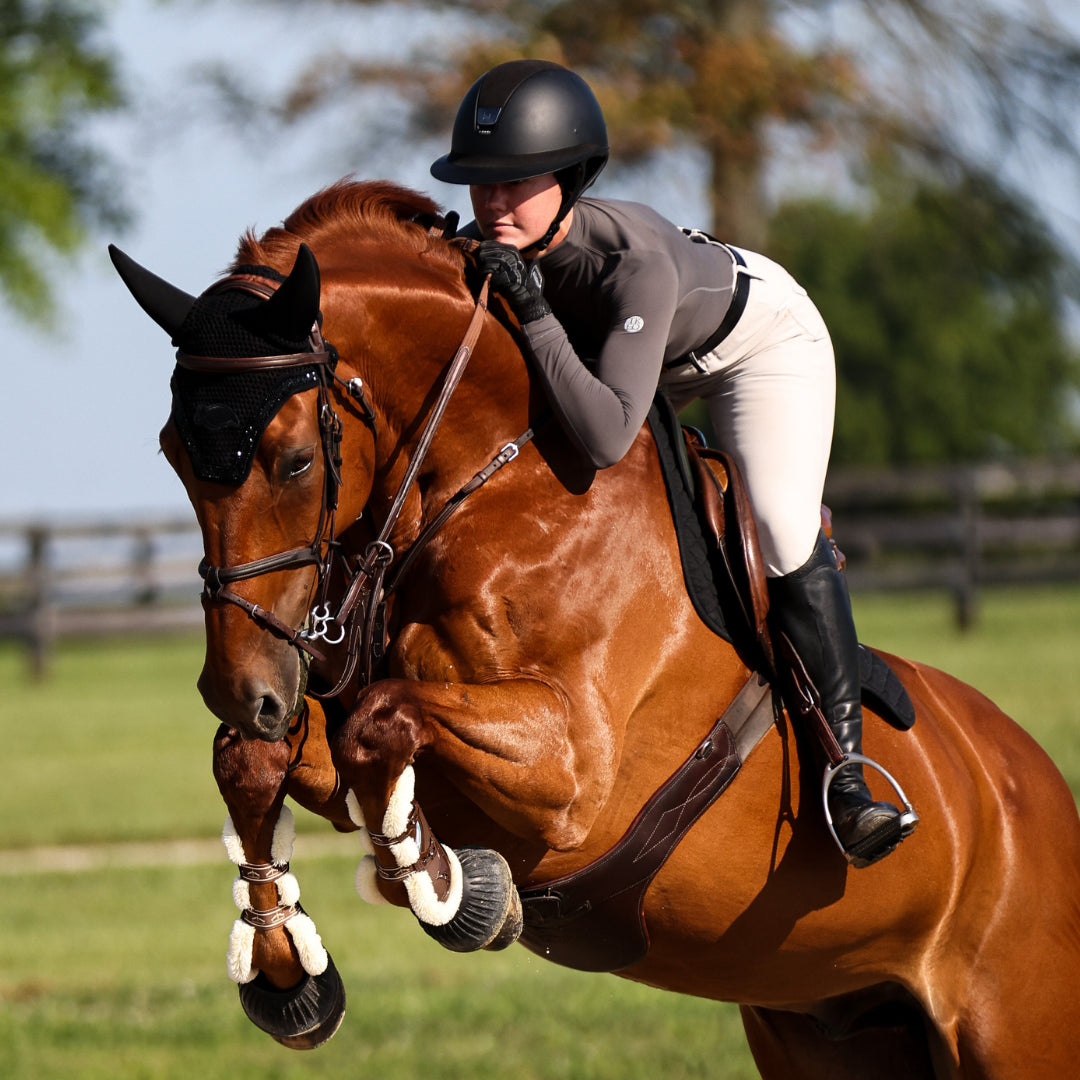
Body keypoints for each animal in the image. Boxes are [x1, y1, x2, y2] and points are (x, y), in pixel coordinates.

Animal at [111, 179, 1080, 1078]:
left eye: (293, 460)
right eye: (171, 452)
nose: (243, 688)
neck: (493, 486)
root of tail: (1038, 785)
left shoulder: (575, 773)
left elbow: (383, 721)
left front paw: (447, 883)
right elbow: (262, 755)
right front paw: (285, 966)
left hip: (1012, 1034)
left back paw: (860, 805)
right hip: (826, 1029)